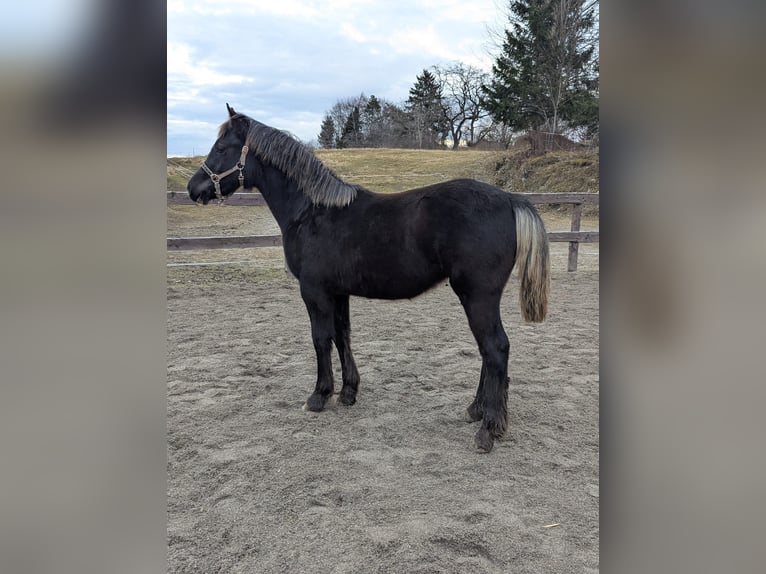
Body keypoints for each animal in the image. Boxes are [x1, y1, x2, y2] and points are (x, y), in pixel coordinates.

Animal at [187, 104, 550, 453]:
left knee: (495, 348)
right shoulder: (338, 293)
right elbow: (342, 336)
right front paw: (348, 392)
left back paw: (488, 429)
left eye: (221, 147)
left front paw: (319, 396)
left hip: (477, 296)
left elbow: (320, 338)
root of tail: (510, 199)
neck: (312, 211)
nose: (193, 189)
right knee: (489, 351)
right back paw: (477, 411)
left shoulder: (314, 291)